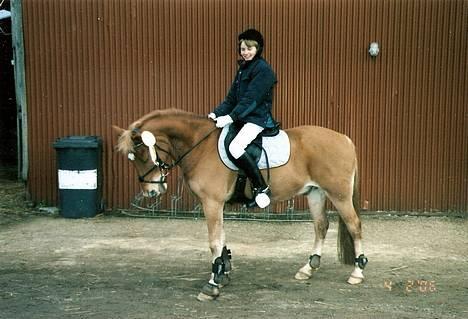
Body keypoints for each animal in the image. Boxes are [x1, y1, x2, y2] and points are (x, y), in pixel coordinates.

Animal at [112, 109, 366, 302]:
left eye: (142, 153)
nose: (151, 191)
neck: (199, 146)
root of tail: (344, 138)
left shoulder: (211, 202)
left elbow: (214, 242)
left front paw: (212, 285)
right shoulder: (217, 204)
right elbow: (222, 238)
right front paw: (223, 274)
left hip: (339, 194)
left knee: (354, 226)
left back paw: (357, 272)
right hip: (315, 193)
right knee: (321, 226)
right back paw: (308, 269)